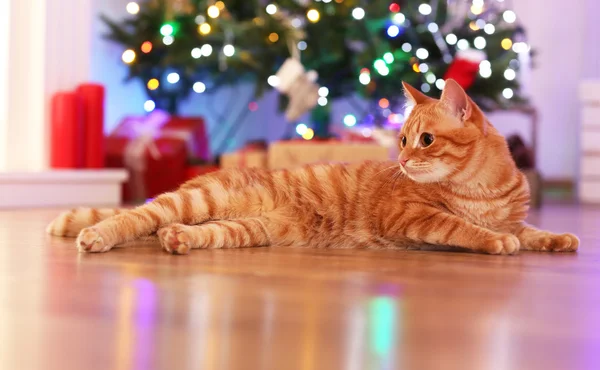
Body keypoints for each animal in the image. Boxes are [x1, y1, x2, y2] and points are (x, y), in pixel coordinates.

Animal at [48, 80, 580, 254]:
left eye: (425, 140)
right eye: (403, 139)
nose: (403, 158)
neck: (483, 190)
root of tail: (208, 174)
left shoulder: (513, 215)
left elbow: (531, 230)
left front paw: (559, 238)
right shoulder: (412, 216)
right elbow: (464, 228)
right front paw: (494, 241)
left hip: (244, 229)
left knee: (182, 229)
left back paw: (178, 239)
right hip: (198, 200)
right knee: (135, 216)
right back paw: (98, 236)